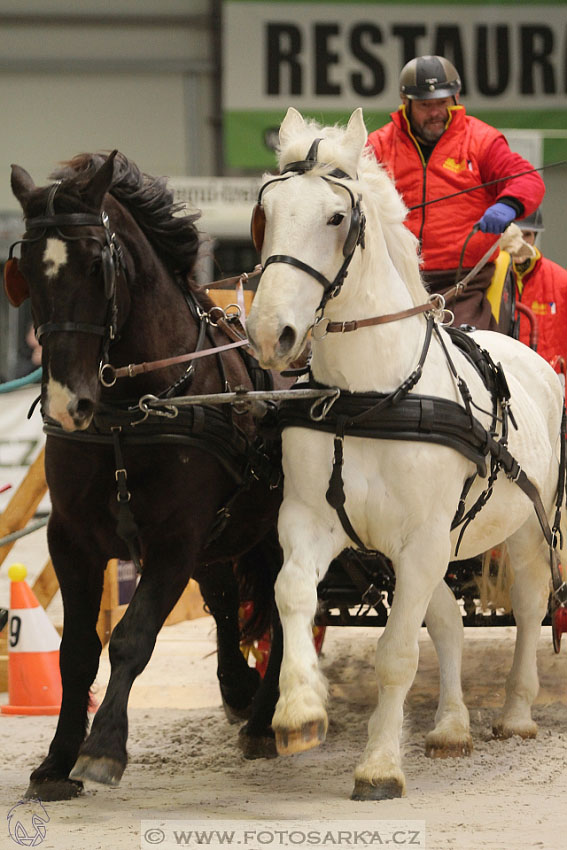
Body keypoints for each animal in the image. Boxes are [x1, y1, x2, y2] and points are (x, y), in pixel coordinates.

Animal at [5, 151, 284, 796]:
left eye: (97, 265)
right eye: (25, 269)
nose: (68, 405)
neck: (129, 413)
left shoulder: (175, 540)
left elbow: (132, 637)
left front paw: (103, 747)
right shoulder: (71, 539)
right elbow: (77, 651)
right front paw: (56, 761)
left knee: (288, 611)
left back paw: (263, 719)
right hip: (230, 535)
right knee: (227, 600)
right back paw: (239, 690)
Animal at [246, 104, 564, 796]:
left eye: (336, 218)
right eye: (267, 212)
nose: (268, 332)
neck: (369, 396)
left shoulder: (421, 540)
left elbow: (395, 654)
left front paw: (379, 766)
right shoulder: (310, 523)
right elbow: (291, 595)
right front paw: (299, 711)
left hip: (527, 525)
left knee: (531, 605)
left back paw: (516, 713)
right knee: (447, 619)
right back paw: (450, 727)